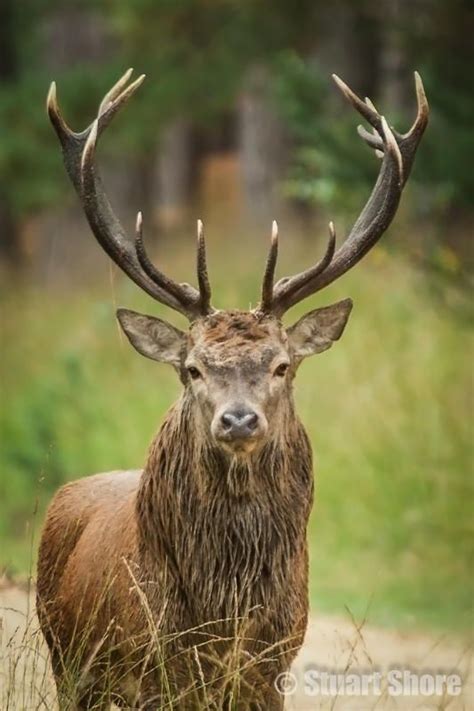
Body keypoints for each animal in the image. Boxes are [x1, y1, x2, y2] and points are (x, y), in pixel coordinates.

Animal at [38, 68, 430, 711]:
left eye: (282, 366)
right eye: (193, 368)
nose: (239, 420)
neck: (224, 620)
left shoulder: (270, 671)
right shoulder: (151, 673)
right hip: (68, 662)